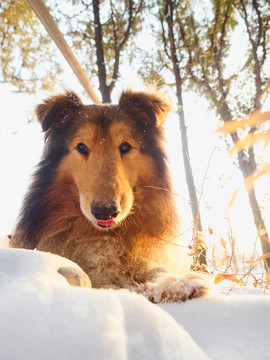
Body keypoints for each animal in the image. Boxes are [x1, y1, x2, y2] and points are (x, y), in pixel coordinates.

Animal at [10, 89, 209, 300]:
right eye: (81, 147)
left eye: (125, 146)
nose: (105, 211)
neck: (107, 236)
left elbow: (156, 270)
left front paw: (175, 280)